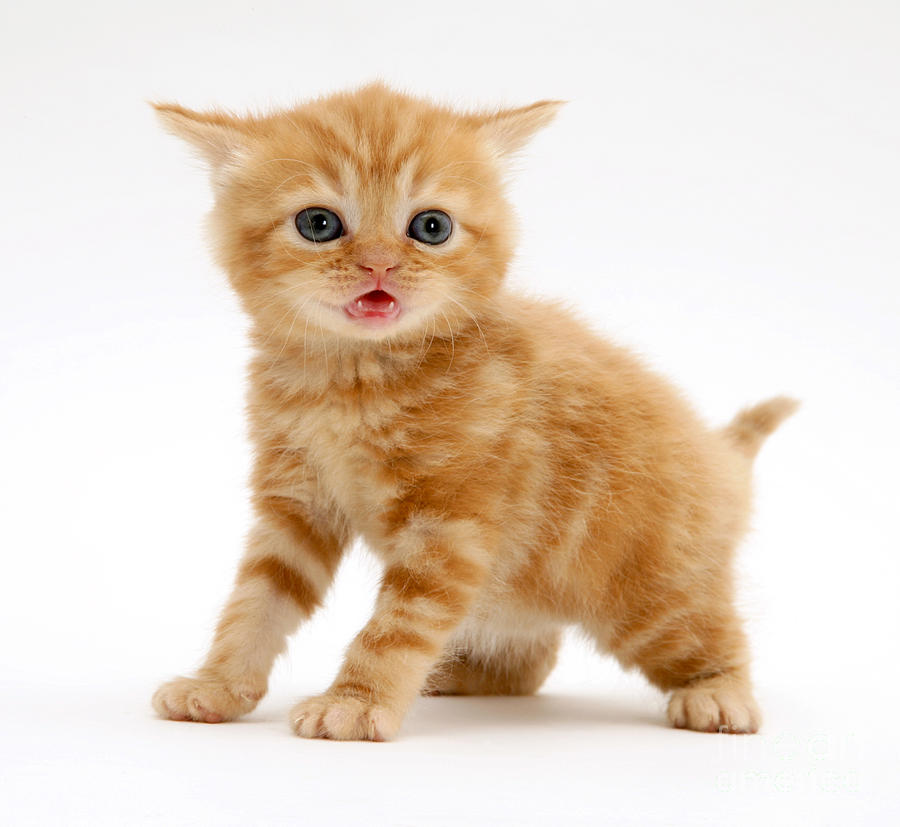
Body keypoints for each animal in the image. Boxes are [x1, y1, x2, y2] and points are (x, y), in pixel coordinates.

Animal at [151, 84, 800, 740]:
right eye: (319, 223)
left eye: (431, 227)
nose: (379, 264)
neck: (354, 381)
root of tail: (723, 458)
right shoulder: (296, 501)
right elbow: (255, 601)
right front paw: (218, 685)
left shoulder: (450, 524)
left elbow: (398, 624)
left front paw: (355, 702)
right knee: (533, 662)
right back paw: (457, 674)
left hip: (652, 594)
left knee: (708, 632)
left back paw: (719, 694)